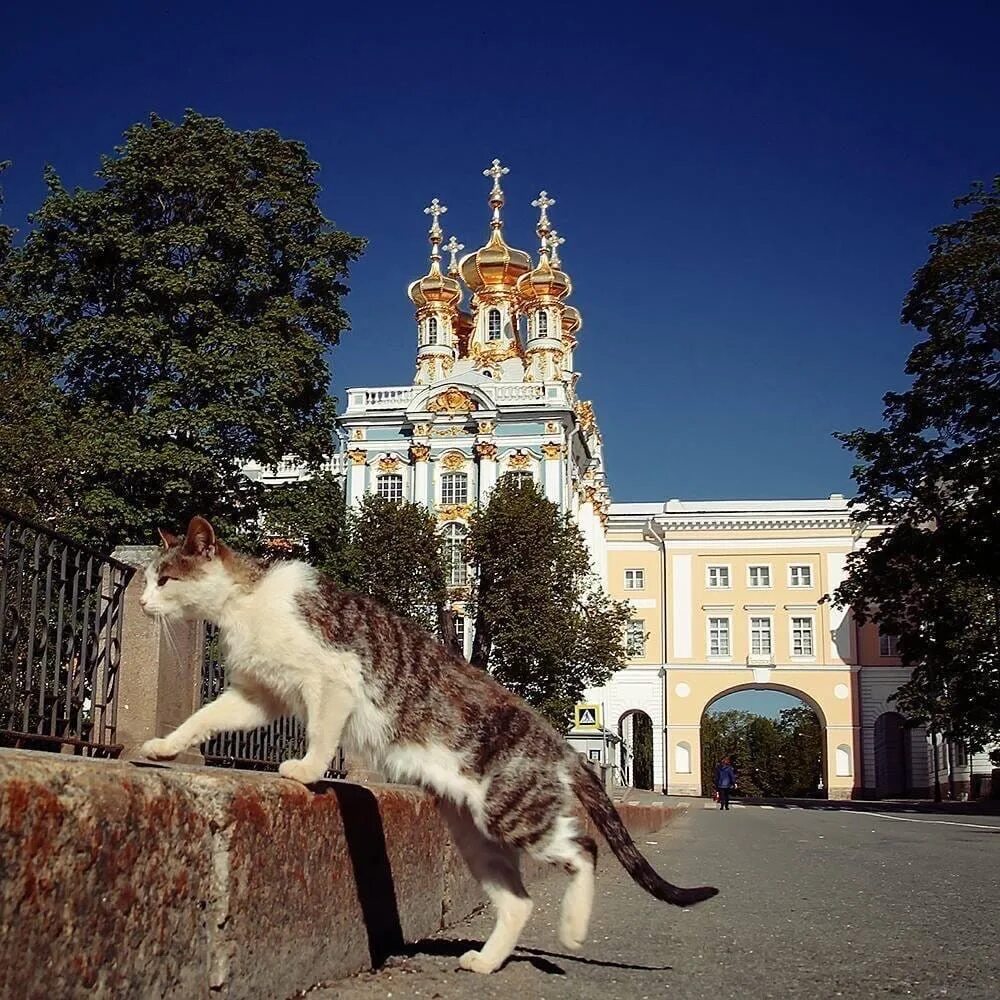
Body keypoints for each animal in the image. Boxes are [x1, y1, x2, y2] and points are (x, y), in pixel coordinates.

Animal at [141, 516, 720, 976]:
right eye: (148, 579)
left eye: (165, 579)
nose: (144, 604)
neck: (245, 603)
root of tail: (560, 743)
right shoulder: (258, 695)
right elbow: (203, 718)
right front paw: (166, 747)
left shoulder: (332, 680)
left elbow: (322, 734)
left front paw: (304, 770)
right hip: (475, 834)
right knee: (518, 902)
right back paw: (487, 961)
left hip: (512, 811)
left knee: (584, 850)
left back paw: (573, 929)